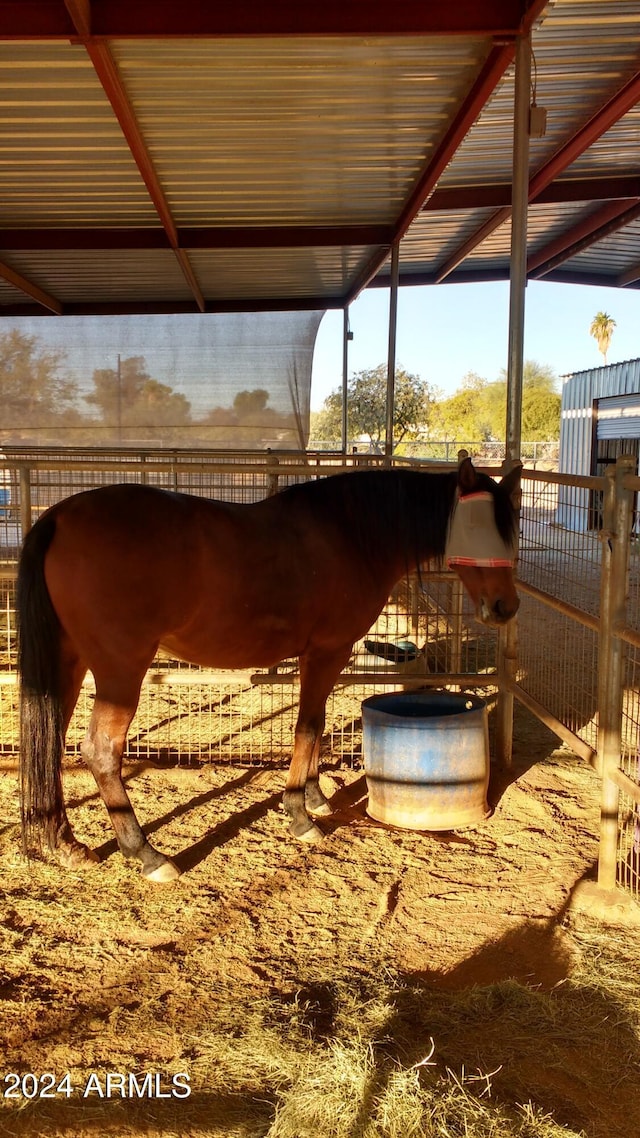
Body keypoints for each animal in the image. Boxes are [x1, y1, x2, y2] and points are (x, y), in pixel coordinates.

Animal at [17, 457, 519, 883]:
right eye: (476, 527)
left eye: (510, 528)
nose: (506, 607)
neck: (351, 534)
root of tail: (60, 516)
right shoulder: (327, 652)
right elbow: (308, 728)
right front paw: (300, 814)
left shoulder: (323, 656)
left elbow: (316, 725)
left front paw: (316, 798)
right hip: (121, 671)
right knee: (101, 750)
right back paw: (147, 855)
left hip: (70, 662)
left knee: (51, 740)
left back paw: (64, 844)